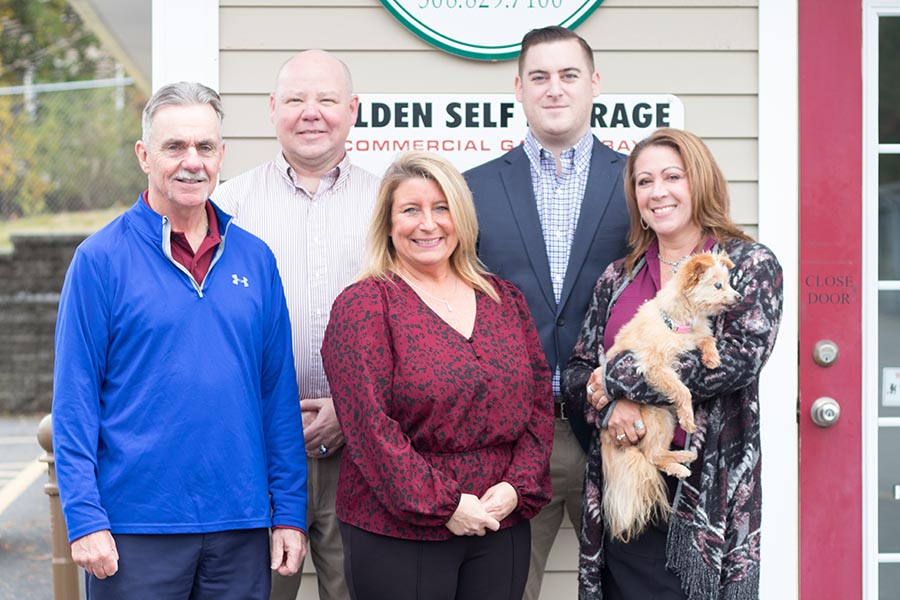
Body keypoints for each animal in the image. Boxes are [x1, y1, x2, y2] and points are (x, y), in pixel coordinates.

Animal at [600, 251, 740, 540]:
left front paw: (712, 357)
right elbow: (681, 389)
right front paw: (689, 417)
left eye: (729, 283)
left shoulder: (695, 336)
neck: (679, 322)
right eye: (718, 285)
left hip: (665, 418)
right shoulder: (654, 366)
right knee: (651, 456)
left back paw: (682, 457)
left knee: (657, 453)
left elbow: (706, 338)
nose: (740, 297)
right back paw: (678, 466)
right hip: (657, 417)